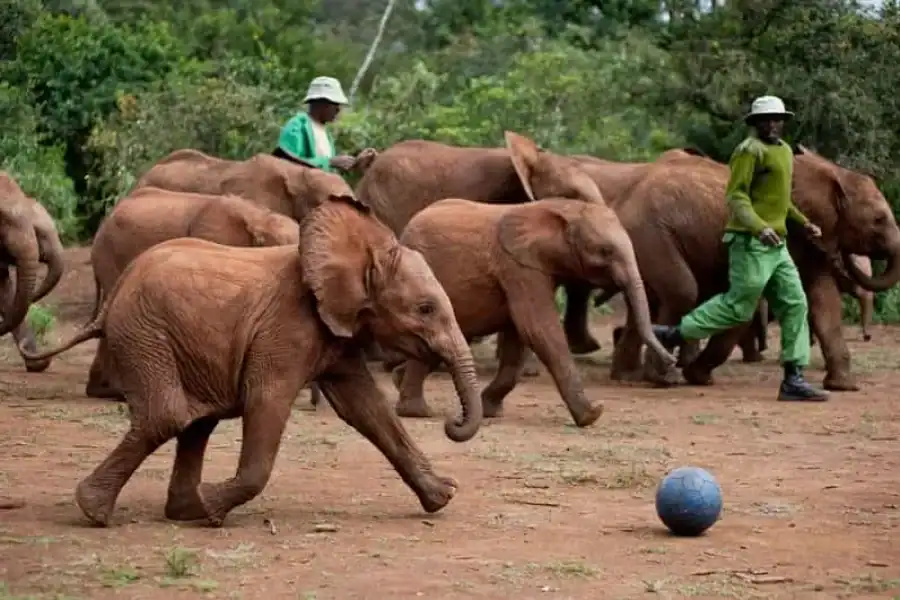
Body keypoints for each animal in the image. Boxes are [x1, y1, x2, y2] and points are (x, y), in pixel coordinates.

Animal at [391, 194, 677, 426]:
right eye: (605, 251)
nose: (672, 362)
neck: (562, 210)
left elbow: (519, 338)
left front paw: (490, 411)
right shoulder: (519, 267)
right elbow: (538, 329)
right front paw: (592, 415)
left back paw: (398, 381)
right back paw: (415, 412)